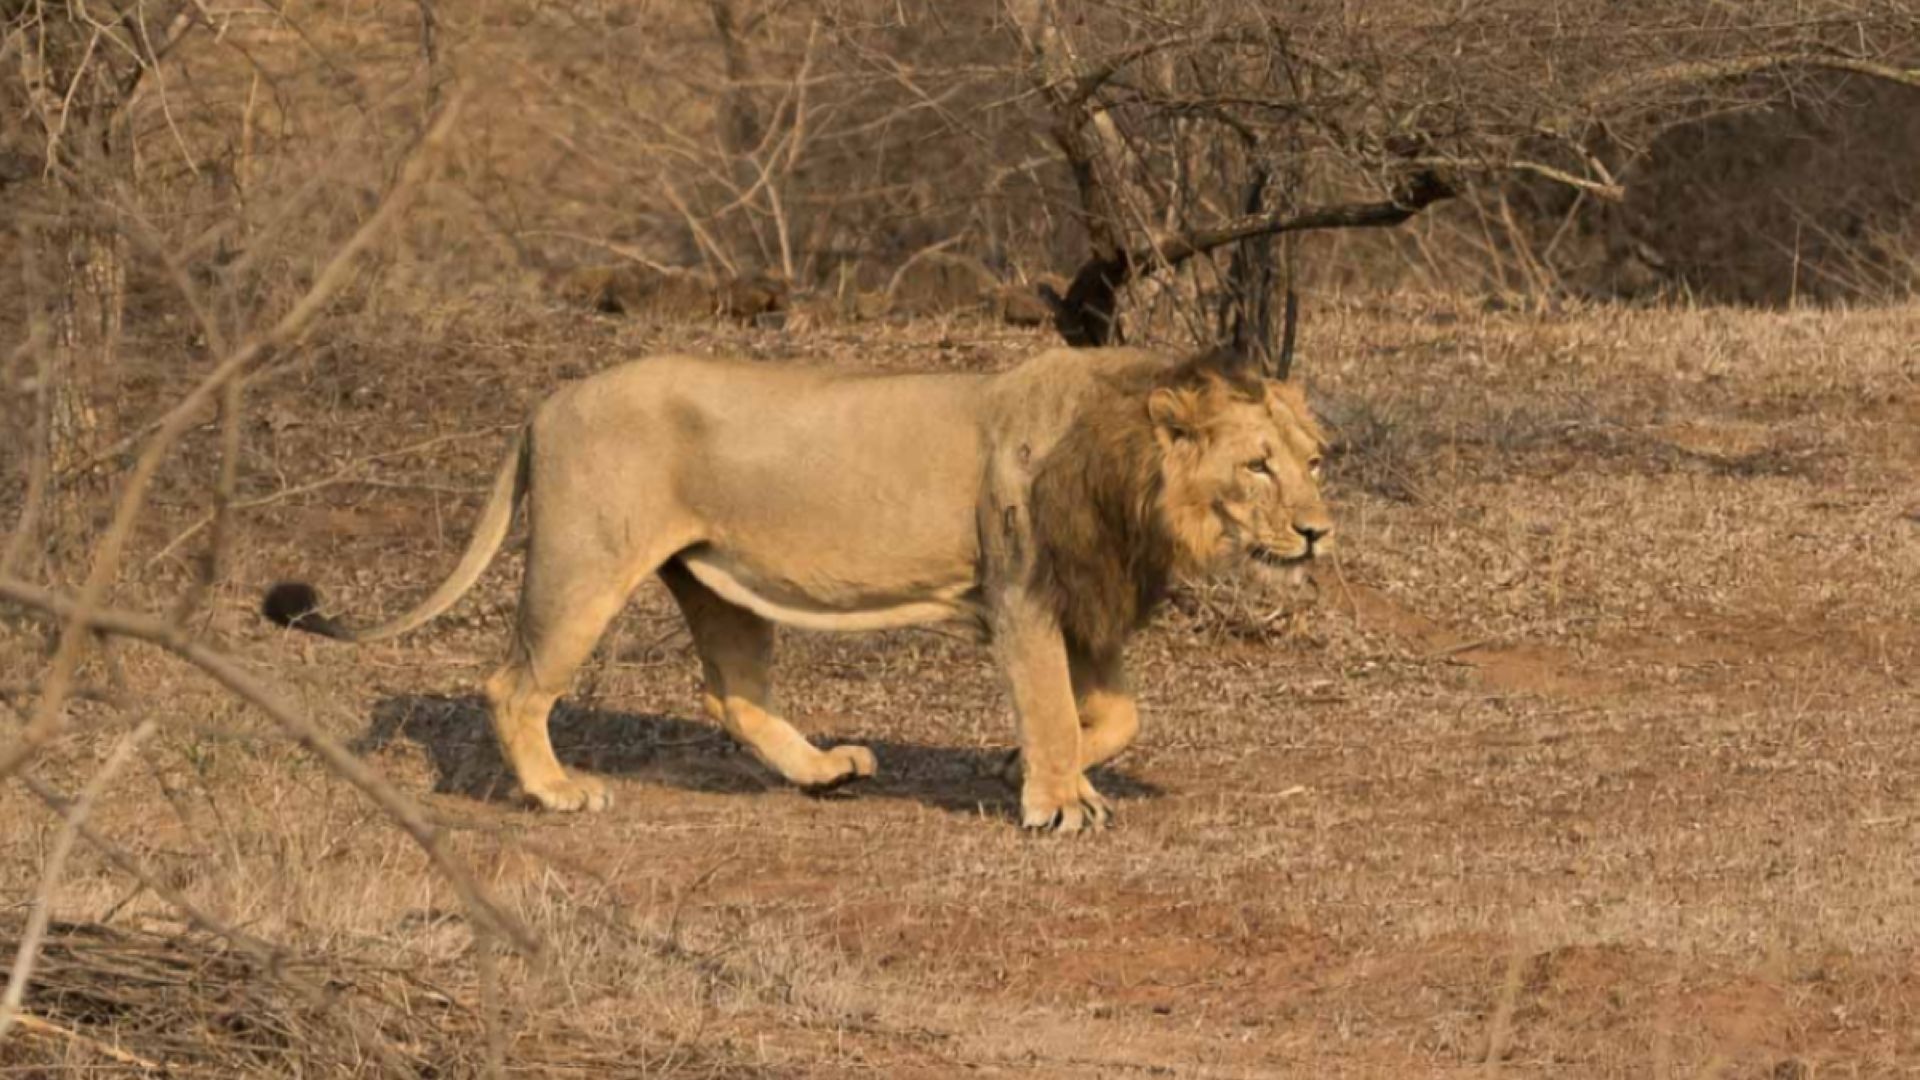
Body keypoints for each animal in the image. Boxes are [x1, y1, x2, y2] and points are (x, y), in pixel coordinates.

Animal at [263, 343, 1328, 834]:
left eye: (1315, 460)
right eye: (1258, 465)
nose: (1319, 531)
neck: (1135, 476)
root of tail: (546, 401)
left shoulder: (1085, 604)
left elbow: (1112, 715)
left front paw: (1006, 765)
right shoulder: (1023, 595)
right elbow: (1059, 712)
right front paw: (1058, 802)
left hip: (716, 582)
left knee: (729, 694)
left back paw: (825, 770)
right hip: (583, 566)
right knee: (514, 684)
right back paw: (560, 792)